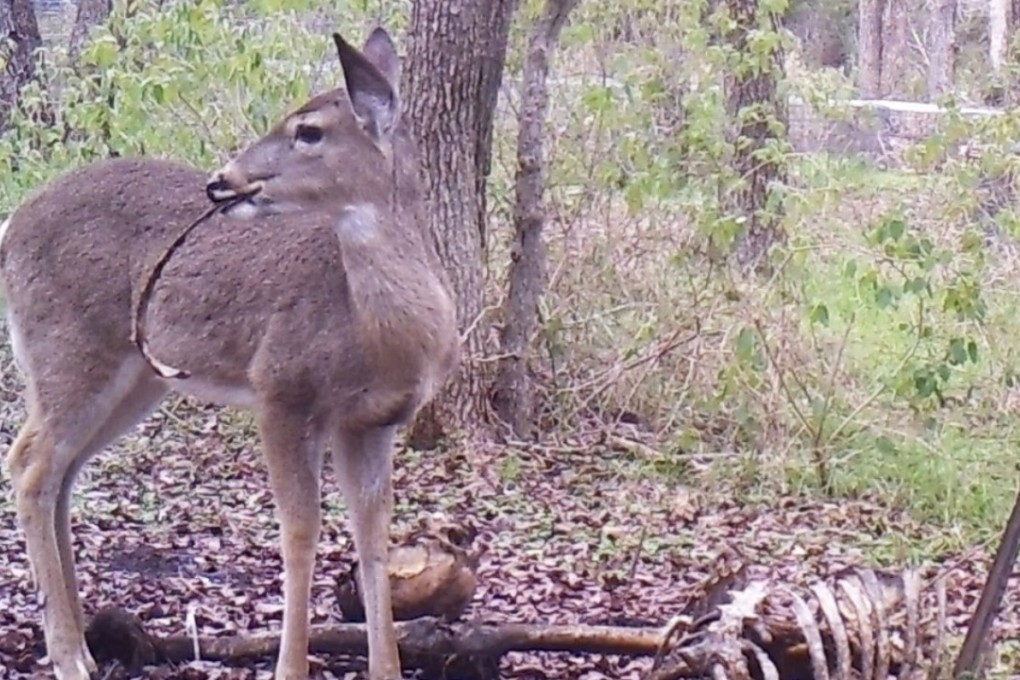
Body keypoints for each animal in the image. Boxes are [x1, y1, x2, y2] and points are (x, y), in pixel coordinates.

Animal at [0, 26, 458, 680]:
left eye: (309, 130)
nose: (223, 179)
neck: (382, 334)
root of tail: (10, 226)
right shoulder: (282, 390)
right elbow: (301, 532)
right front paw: (290, 668)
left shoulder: (373, 422)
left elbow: (373, 538)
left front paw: (386, 668)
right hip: (67, 347)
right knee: (31, 463)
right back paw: (67, 655)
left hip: (139, 376)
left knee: (59, 469)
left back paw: (83, 643)